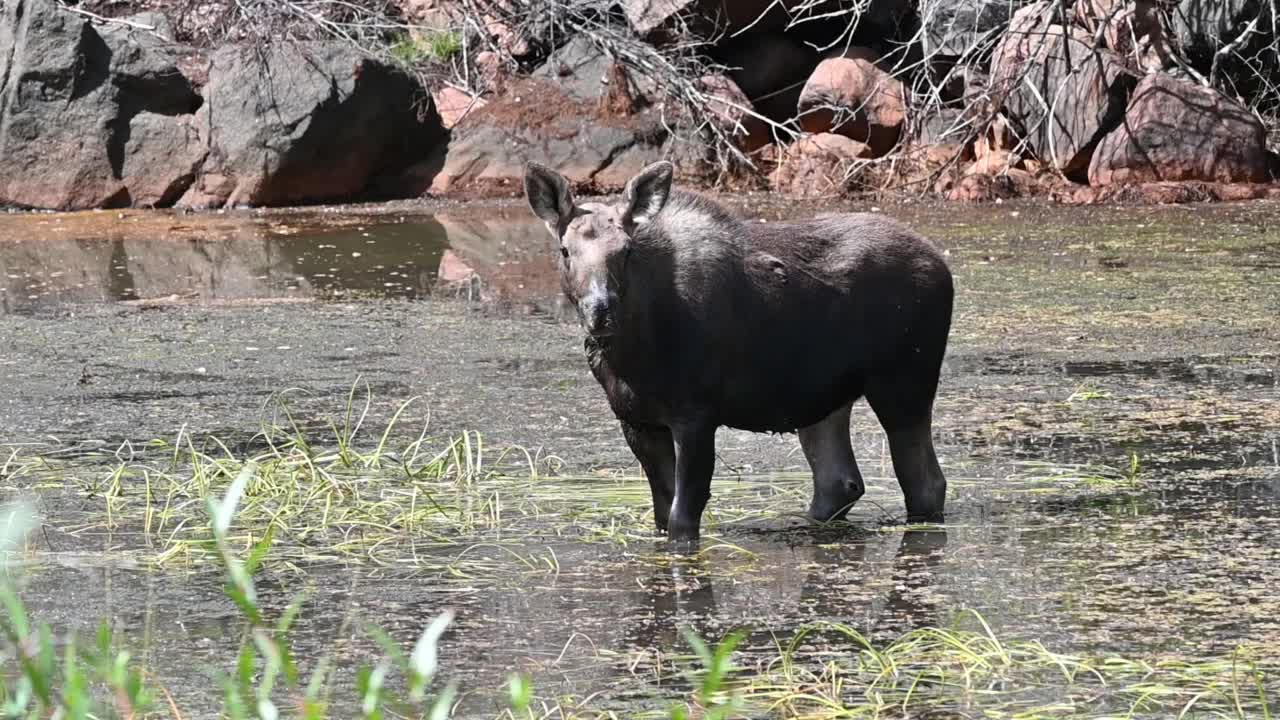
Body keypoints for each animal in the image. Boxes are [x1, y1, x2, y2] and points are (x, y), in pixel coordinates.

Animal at [524, 161, 957, 538]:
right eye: (565, 250)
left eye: (627, 250)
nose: (601, 310)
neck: (634, 353)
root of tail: (943, 266)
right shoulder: (637, 422)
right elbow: (663, 513)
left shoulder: (695, 415)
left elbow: (683, 516)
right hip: (825, 400)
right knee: (840, 481)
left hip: (904, 382)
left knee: (925, 481)